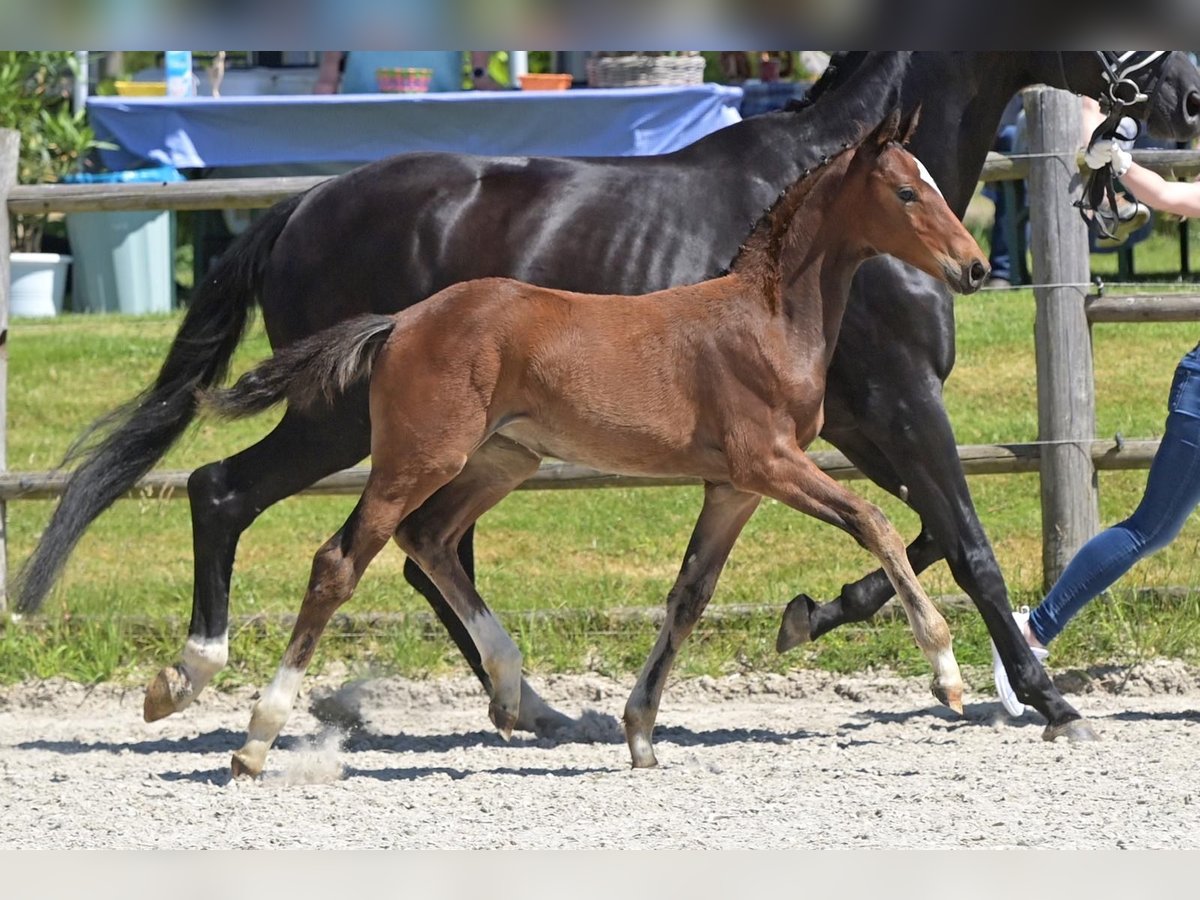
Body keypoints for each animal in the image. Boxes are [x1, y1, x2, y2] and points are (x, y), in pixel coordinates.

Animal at [208, 109, 984, 777]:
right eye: (907, 191)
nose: (974, 267)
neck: (767, 321)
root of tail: (400, 322)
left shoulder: (733, 487)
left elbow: (689, 595)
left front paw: (639, 733)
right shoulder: (769, 462)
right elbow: (874, 520)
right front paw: (946, 675)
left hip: (502, 459)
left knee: (427, 539)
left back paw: (510, 691)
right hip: (420, 456)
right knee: (340, 561)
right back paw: (255, 740)